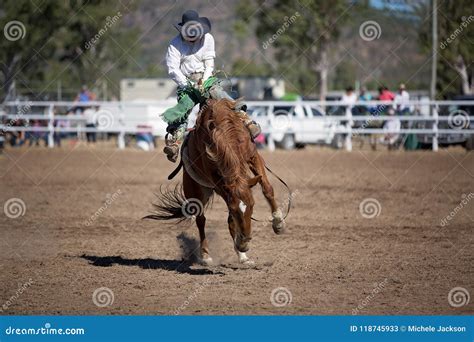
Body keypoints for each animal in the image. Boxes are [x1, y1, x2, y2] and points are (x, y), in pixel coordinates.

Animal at [146, 99, 284, 264]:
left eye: (252, 206)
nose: (245, 241)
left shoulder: (253, 156)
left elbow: (267, 188)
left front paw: (278, 223)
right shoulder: (216, 178)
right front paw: (241, 243)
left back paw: (242, 255)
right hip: (195, 190)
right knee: (201, 220)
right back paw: (206, 255)